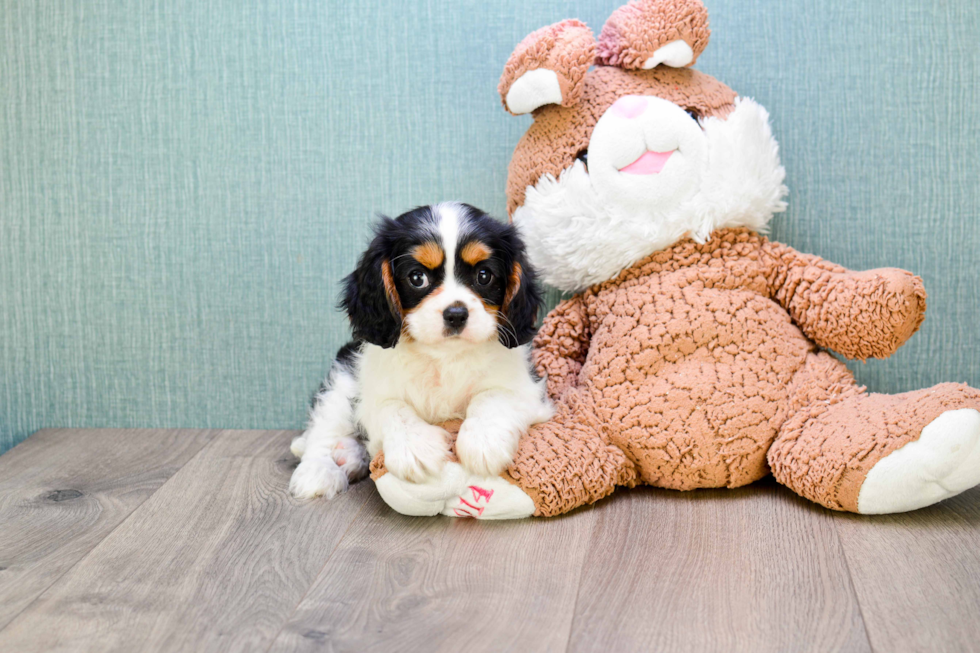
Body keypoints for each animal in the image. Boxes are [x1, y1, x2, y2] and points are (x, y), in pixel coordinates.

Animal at [288, 204, 556, 500]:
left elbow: (492, 396)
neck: (444, 357)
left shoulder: (526, 389)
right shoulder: (370, 393)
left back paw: (348, 456)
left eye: (484, 275)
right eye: (418, 278)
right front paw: (415, 448)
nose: (456, 314)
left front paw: (483, 441)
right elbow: (393, 407)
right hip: (342, 379)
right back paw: (319, 471)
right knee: (323, 431)